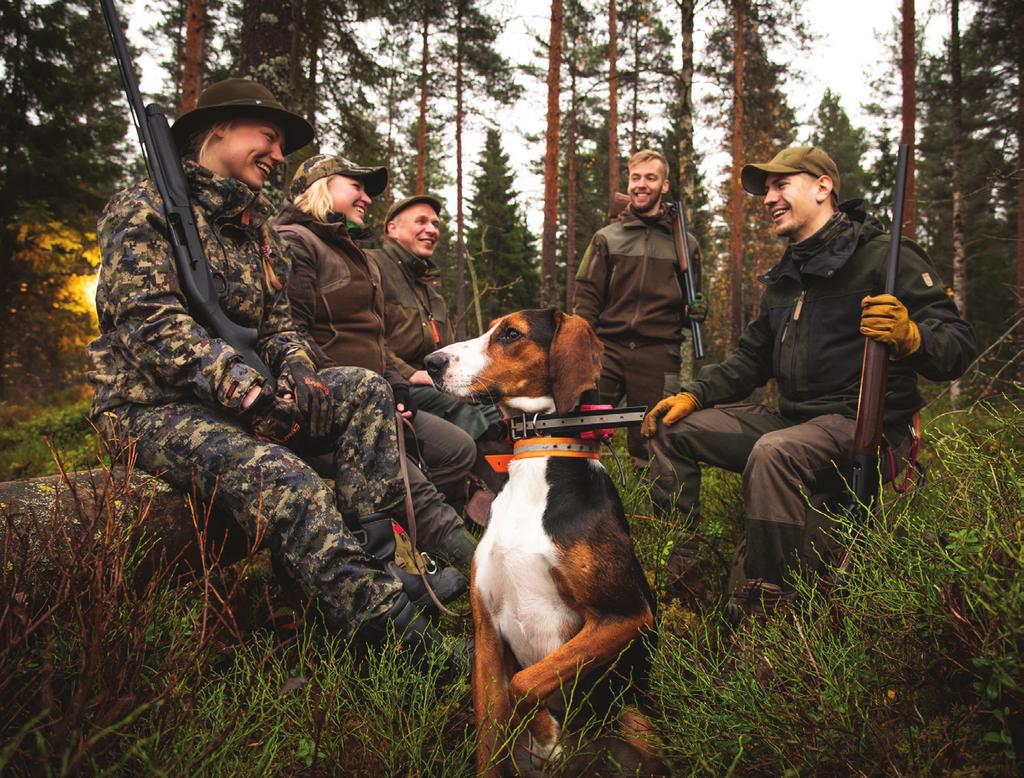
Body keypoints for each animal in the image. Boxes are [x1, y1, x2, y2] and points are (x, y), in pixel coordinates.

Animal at [425, 309, 659, 778]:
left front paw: (546, 733)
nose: (431, 362)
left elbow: (525, 683)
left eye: (510, 334)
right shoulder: (486, 636)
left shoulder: (625, 616)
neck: (538, 461)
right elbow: (490, 734)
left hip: (636, 721)